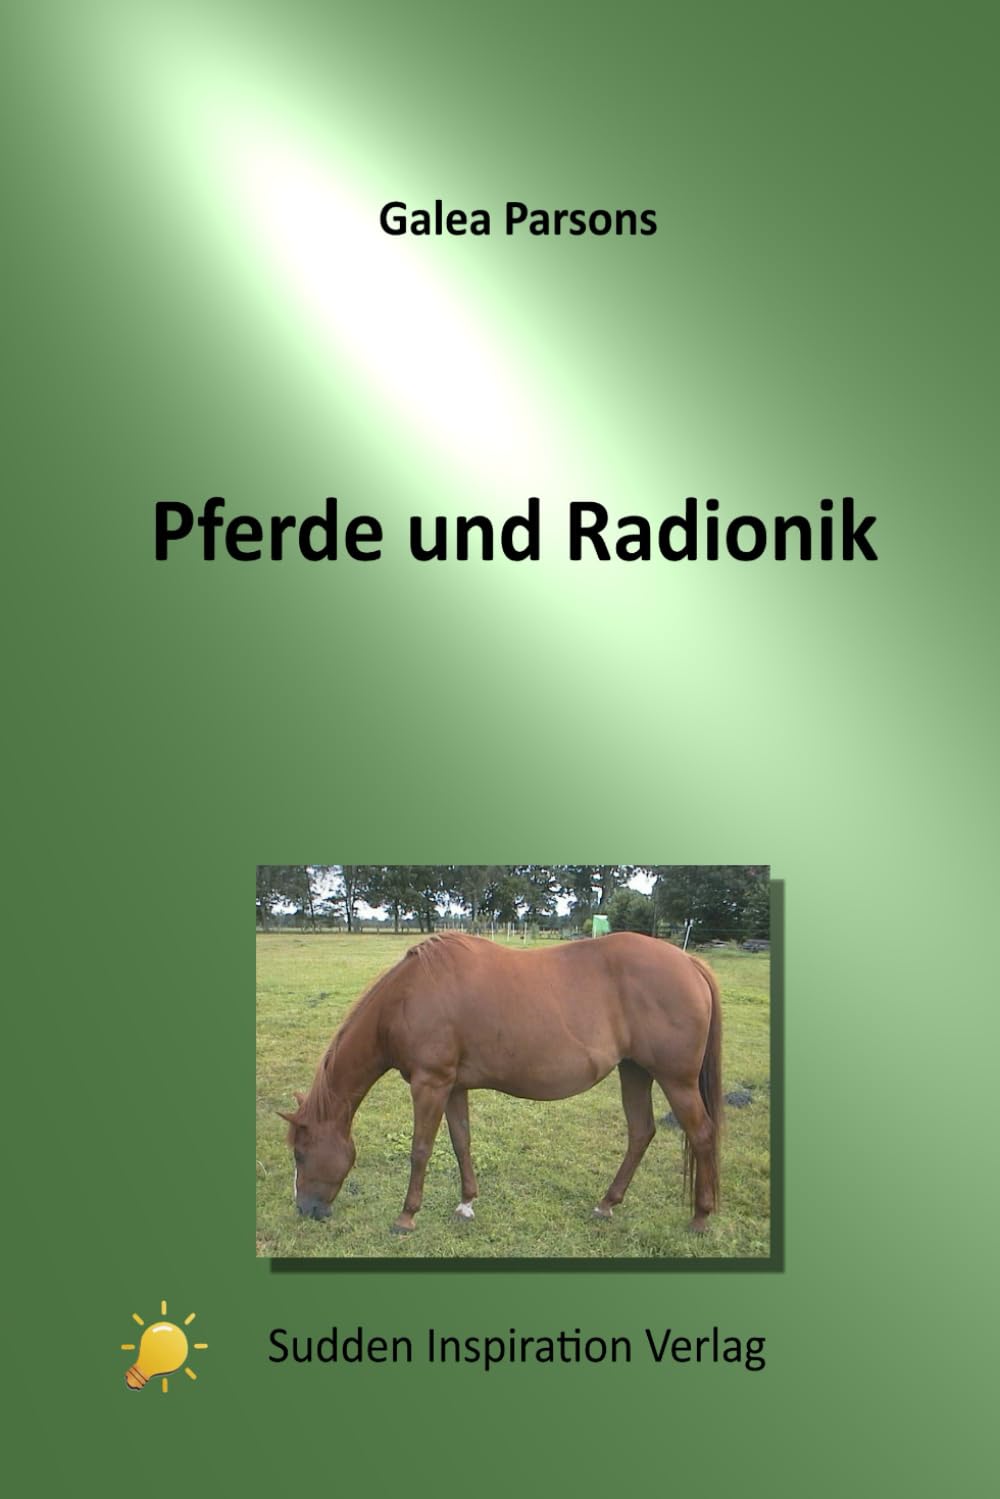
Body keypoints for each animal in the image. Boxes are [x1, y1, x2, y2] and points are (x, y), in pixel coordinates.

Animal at [279, 931, 723, 1235]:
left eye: (300, 1153)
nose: (305, 1209)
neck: (408, 996)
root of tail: (689, 962)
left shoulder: (430, 1084)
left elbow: (420, 1150)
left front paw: (406, 1217)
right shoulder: (453, 1087)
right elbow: (461, 1141)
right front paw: (466, 1204)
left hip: (676, 1080)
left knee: (702, 1134)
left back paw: (700, 1217)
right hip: (634, 1071)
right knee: (640, 1133)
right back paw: (607, 1204)